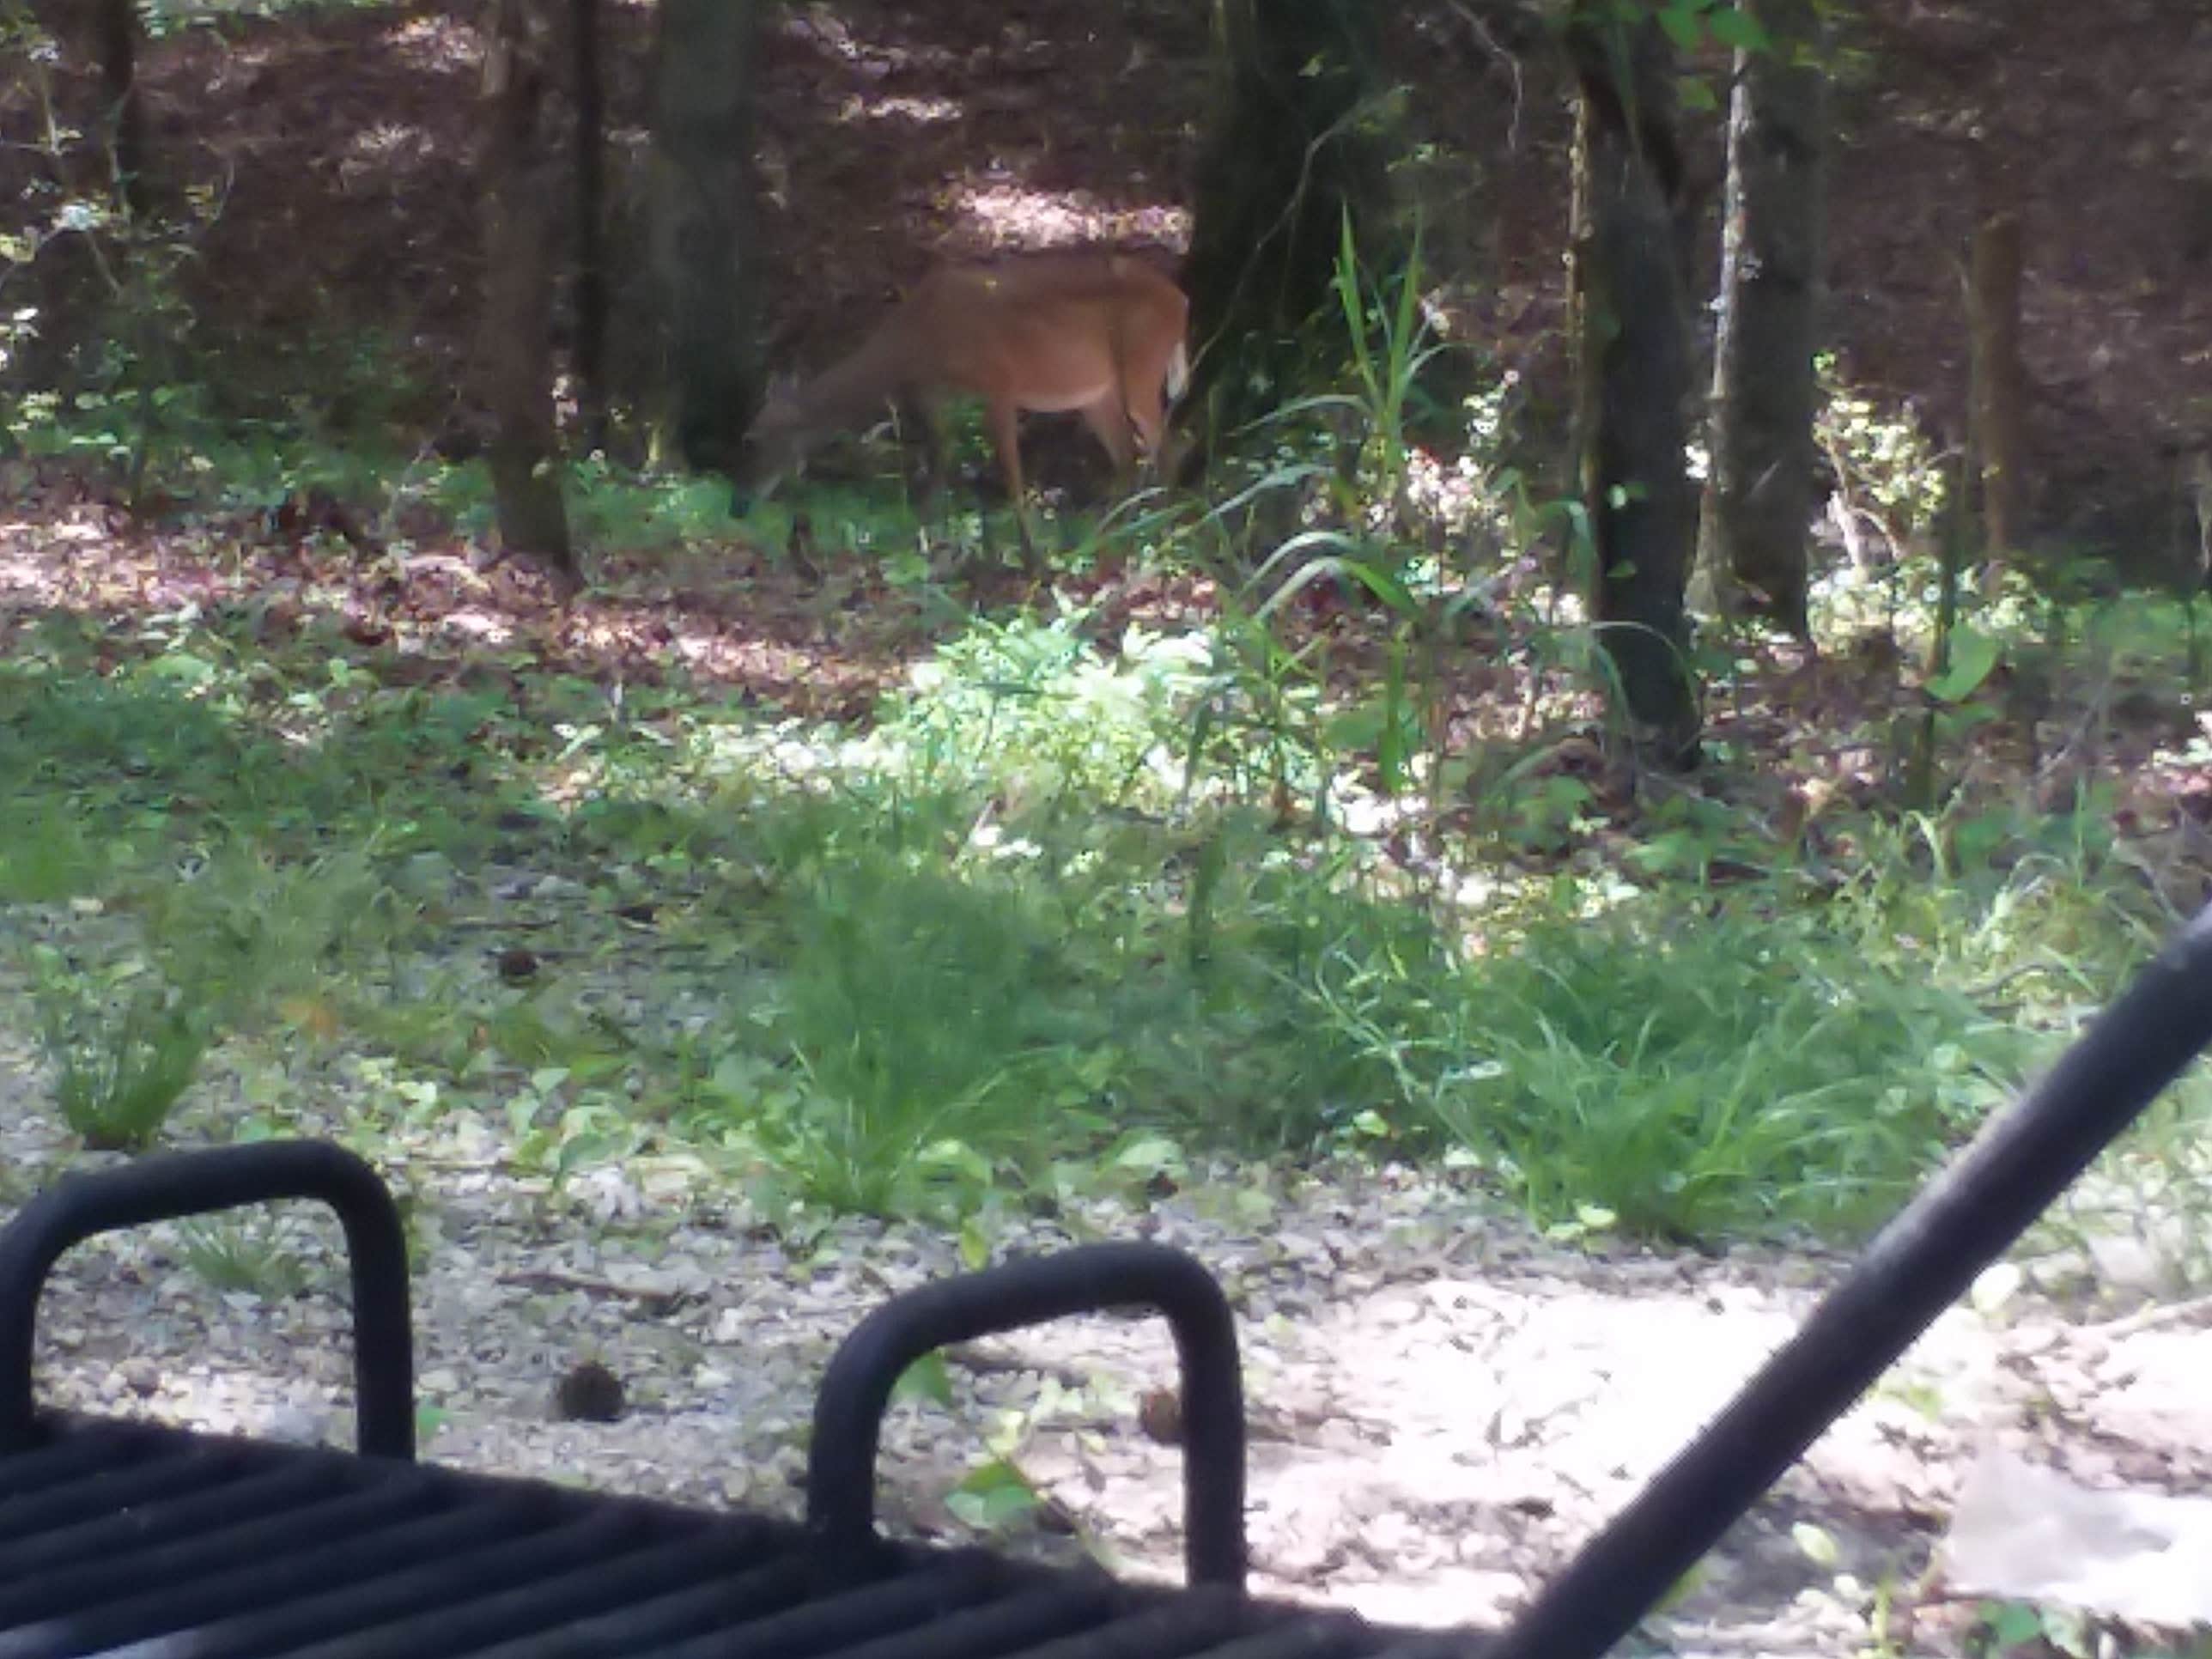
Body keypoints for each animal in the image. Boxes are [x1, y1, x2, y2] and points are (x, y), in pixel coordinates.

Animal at [743, 250, 1194, 570]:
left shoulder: (1000, 382)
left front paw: (1028, 555)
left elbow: (1010, 473)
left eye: (755, 439)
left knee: (1167, 452)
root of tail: (1181, 299)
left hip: (1142, 364)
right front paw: (924, 536)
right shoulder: (935, 393)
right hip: (1094, 393)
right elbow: (939, 459)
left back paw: (1163, 536)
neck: (917, 338)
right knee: (1128, 456)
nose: (740, 504)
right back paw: (1106, 536)